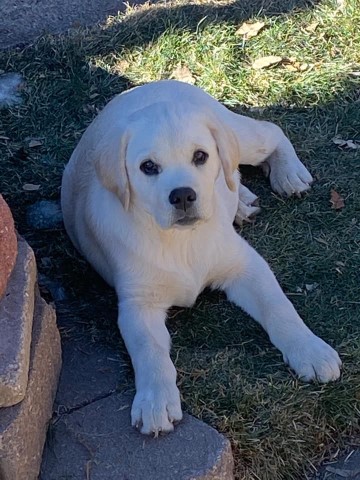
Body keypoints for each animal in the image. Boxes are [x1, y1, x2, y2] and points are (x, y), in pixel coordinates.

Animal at [61, 81, 340, 436]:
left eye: (200, 156)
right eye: (147, 167)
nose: (182, 195)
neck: (182, 240)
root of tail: (152, 83)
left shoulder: (247, 266)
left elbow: (279, 308)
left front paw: (310, 350)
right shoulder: (138, 304)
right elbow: (150, 351)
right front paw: (155, 401)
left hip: (239, 134)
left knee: (267, 132)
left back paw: (288, 175)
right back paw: (243, 202)